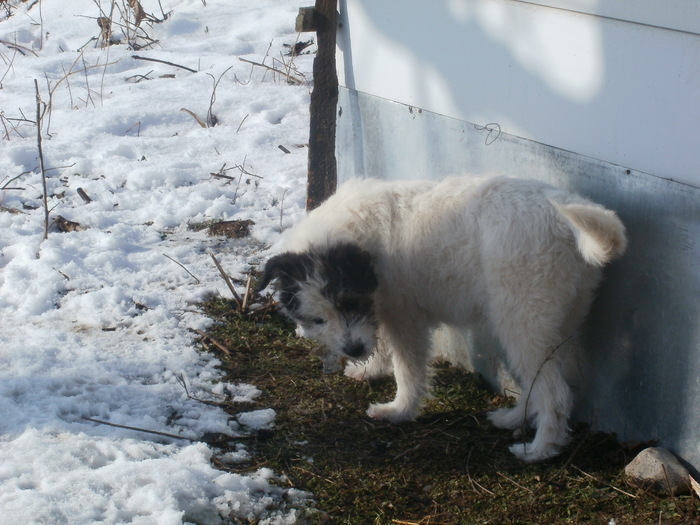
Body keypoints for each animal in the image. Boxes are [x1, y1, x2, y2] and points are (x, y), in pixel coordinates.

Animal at [258, 174, 628, 460]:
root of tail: (564, 215)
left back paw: (539, 451)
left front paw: (399, 410)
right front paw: (369, 370)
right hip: (555, 322)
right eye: (318, 320)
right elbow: (382, 347)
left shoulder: (404, 320)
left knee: (556, 394)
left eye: (350, 303)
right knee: (540, 381)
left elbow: (408, 370)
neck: (360, 234)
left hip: (522, 323)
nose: (352, 351)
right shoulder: (384, 311)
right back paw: (513, 419)